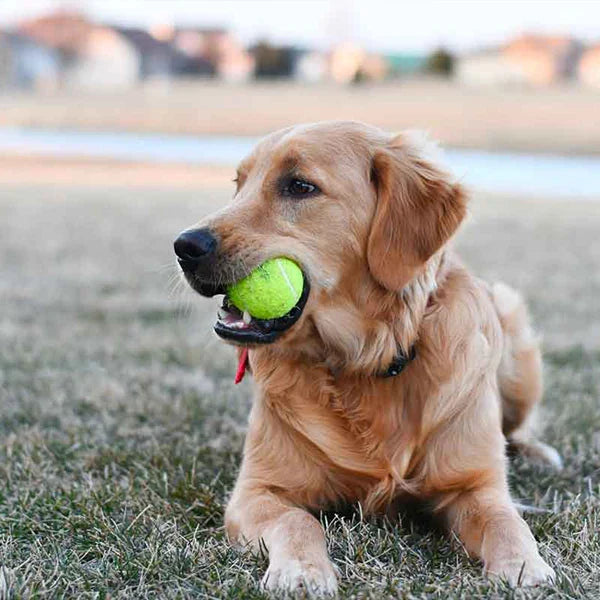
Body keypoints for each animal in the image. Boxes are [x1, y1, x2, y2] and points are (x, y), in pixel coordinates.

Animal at [175, 122, 564, 596]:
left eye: (299, 186)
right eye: (239, 184)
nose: (184, 245)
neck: (365, 361)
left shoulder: (475, 486)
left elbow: (506, 521)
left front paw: (525, 567)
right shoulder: (258, 490)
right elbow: (298, 521)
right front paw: (303, 570)